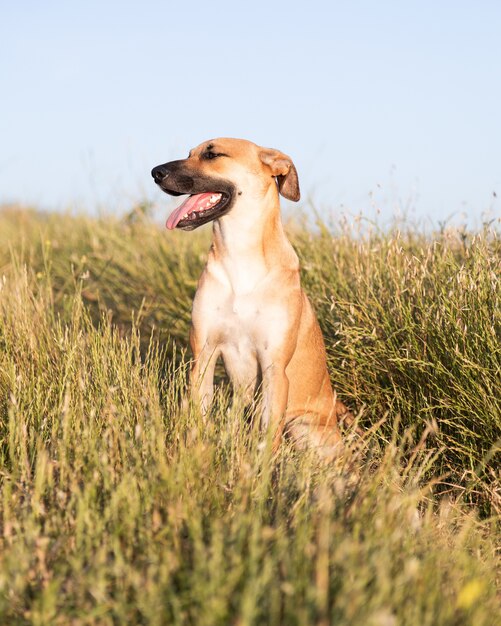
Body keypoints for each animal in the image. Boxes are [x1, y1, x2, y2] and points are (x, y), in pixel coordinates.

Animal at [152, 138, 352, 458]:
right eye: (189, 154)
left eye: (212, 154)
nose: (155, 173)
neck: (240, 257)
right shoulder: (203, 356)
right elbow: (198, 416)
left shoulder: (274, 368)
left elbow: (268, 440)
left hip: (302, 426)